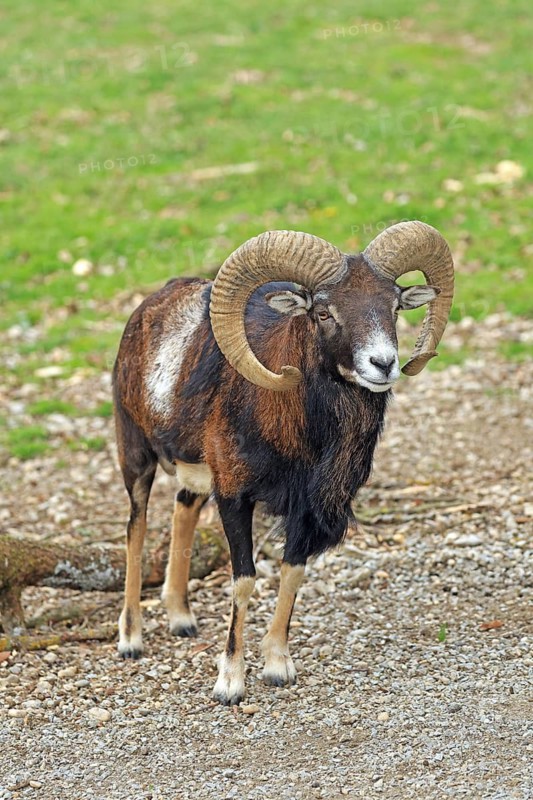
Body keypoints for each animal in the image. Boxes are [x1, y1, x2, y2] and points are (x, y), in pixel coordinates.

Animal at [113, 221, 454, 705]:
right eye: (324, 312)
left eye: (394, 306)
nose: (384, 364)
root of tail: (148, 310)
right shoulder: (235, 498)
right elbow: (244, 579)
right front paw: (230, 684)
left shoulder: (305, 510)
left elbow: (292, 573)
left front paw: (277, 667)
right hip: (135, 457)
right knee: (136, 530)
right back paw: (131, 640)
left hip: (194, 473)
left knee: (183, 509)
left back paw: (181, 619)